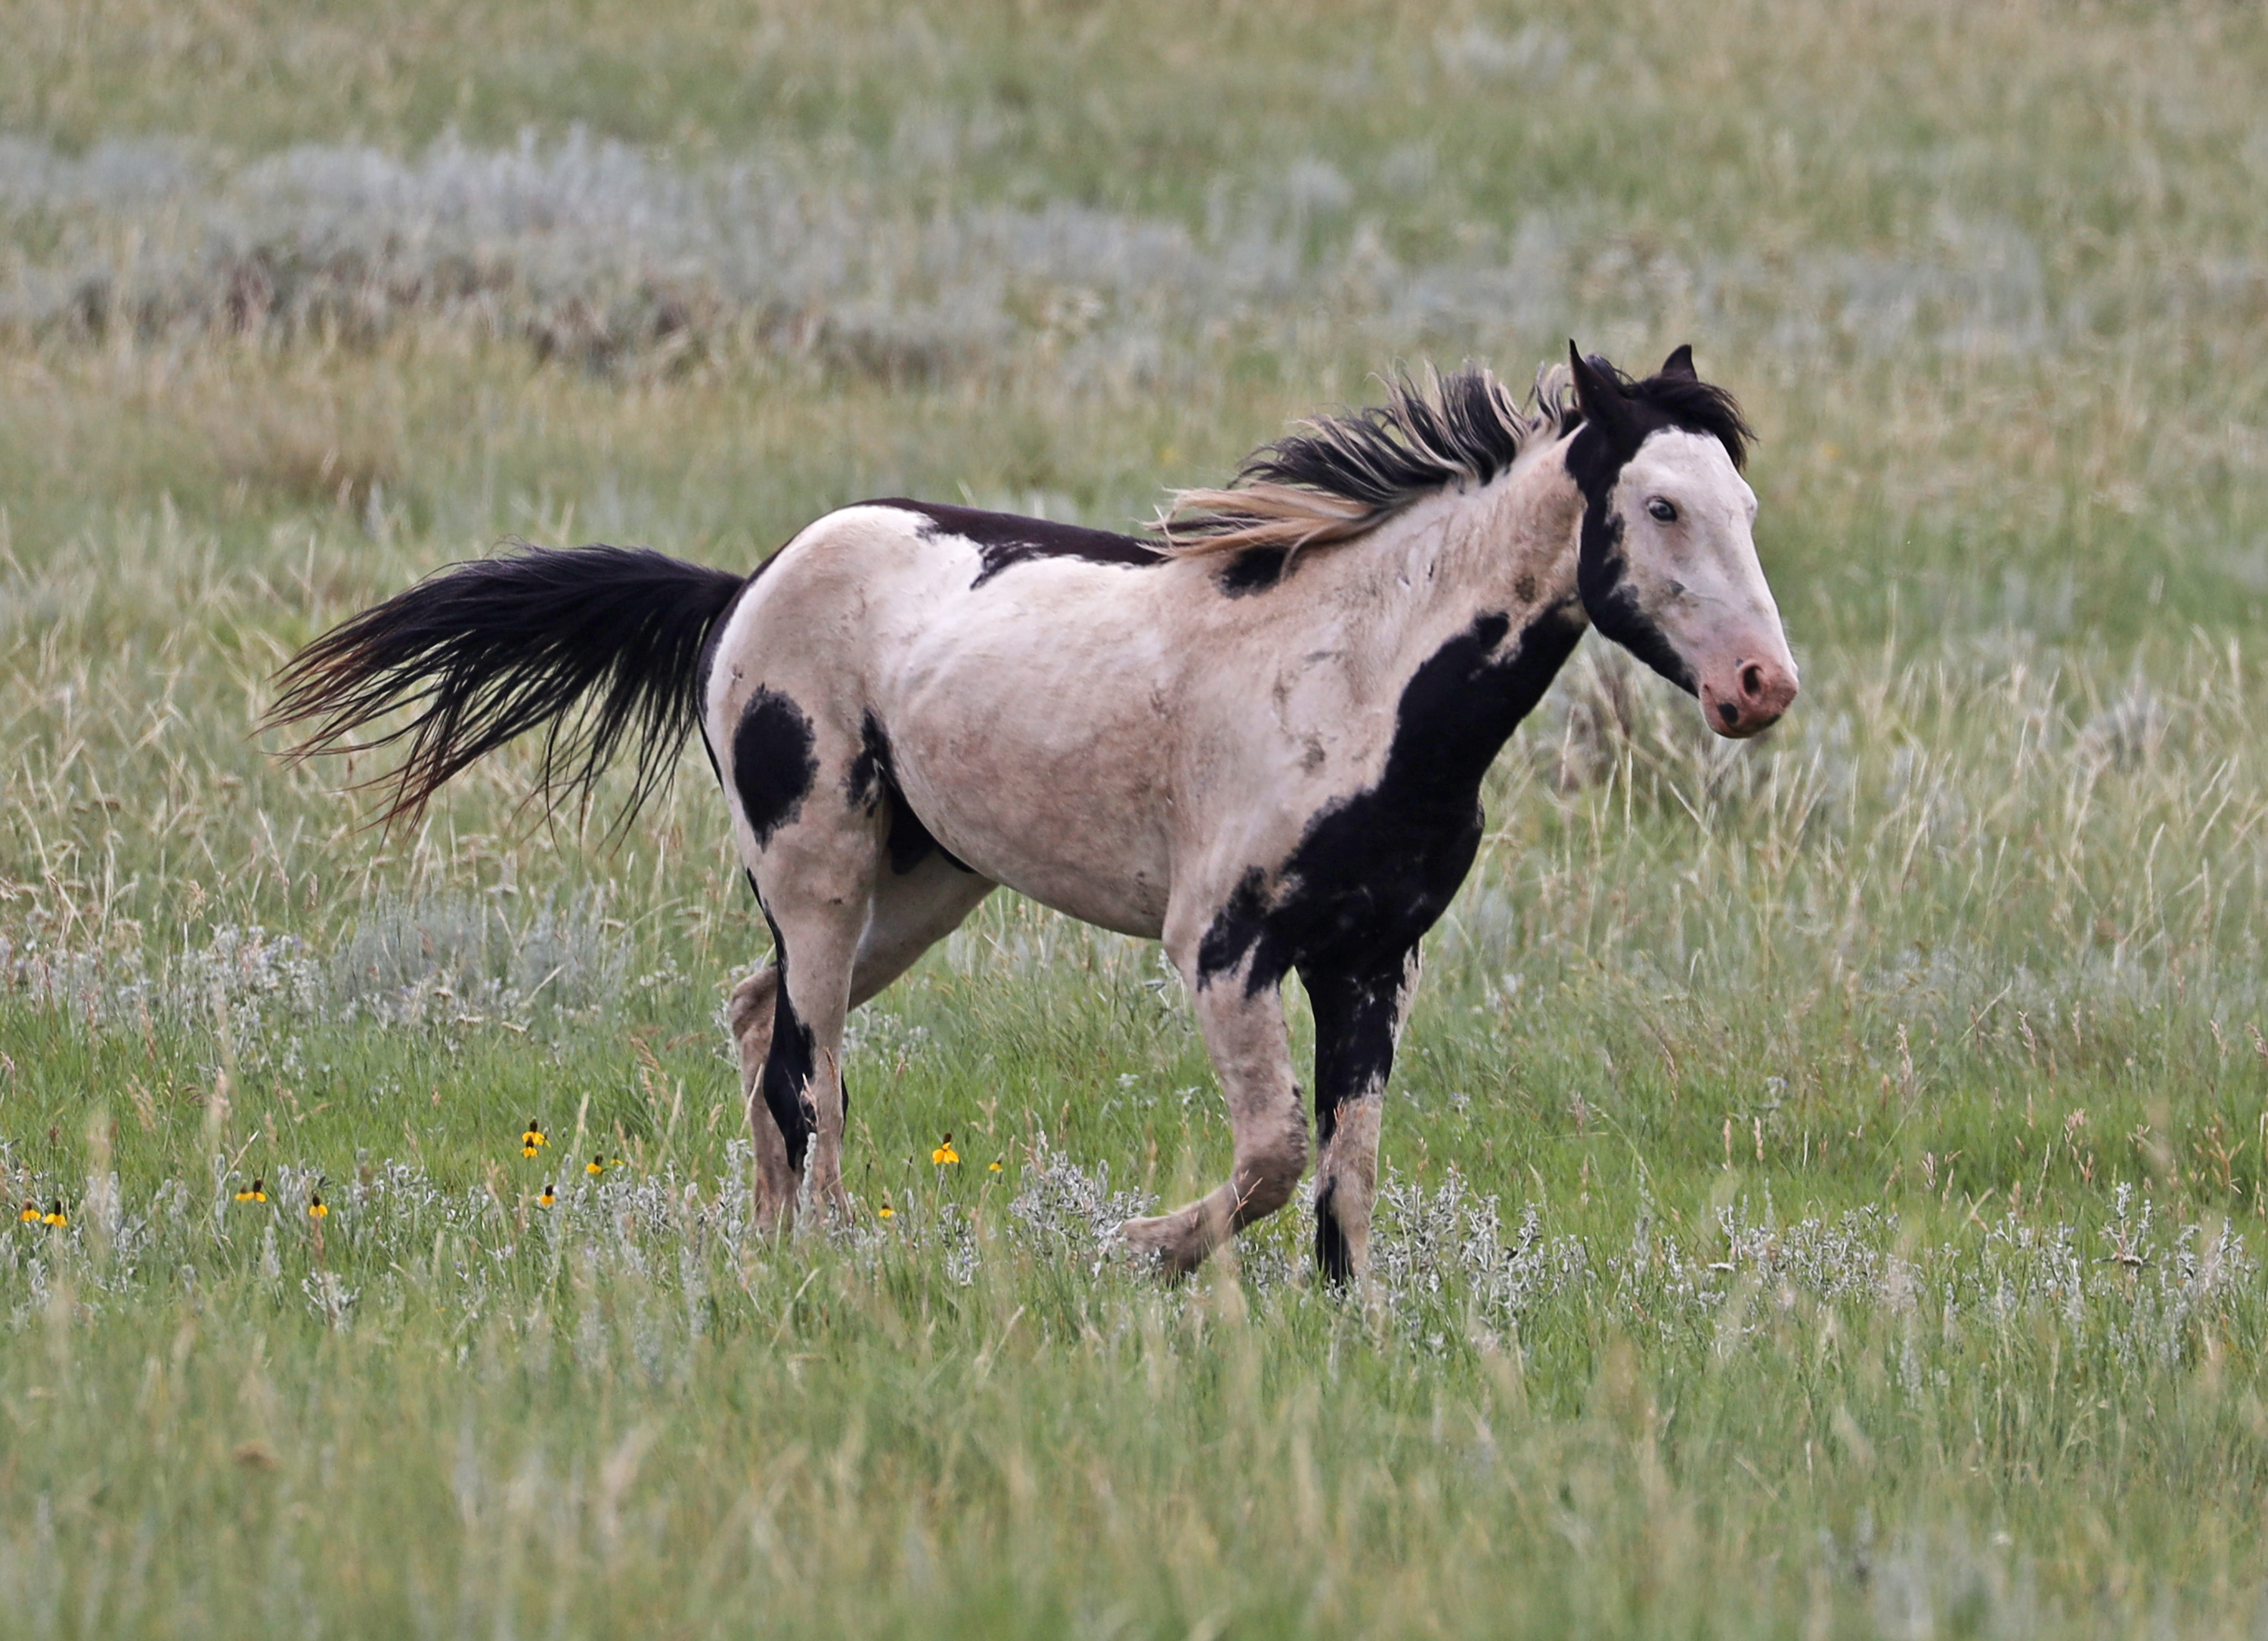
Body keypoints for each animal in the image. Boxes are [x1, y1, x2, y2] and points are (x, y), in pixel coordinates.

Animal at [268, 343, 1797, 1284]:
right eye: (1661, 506)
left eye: (1744, 500)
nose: (1760, 686)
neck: (1359, 680)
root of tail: (744, 587)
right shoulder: (1224, 950)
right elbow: (1270, 1153)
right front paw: (1136, 1249)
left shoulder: (1375, 960)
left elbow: (1346, 1176)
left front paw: (1349, 1325)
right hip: (818, 870)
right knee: (804, 1065)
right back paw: (829, 1260)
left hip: (924, 886)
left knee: (761, 1025)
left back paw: (774, 1249)